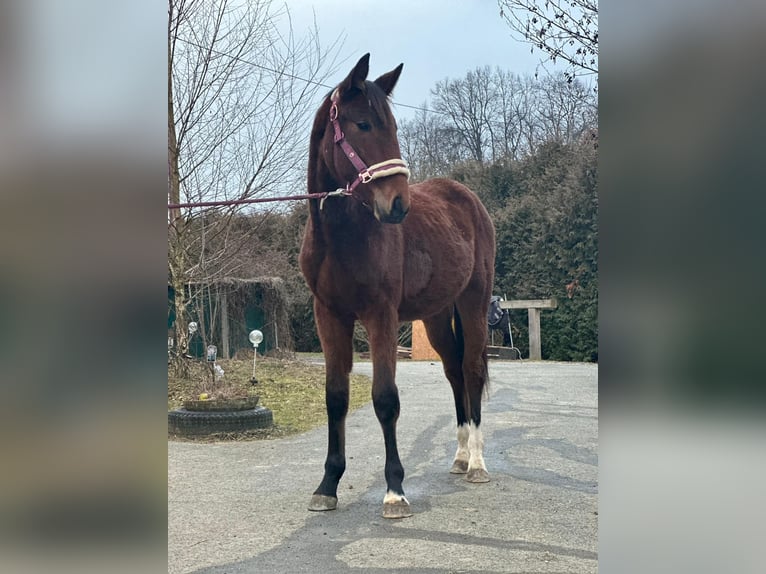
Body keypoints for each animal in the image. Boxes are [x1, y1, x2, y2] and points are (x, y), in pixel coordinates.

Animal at [300, 55, 498, 520]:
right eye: (362, 124)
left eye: (391, 126)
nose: (397, 205)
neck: (343, 239)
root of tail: (469, 199)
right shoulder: (329, 316)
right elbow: (336, 396)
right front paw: (328, 485)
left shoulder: (381, 316)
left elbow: (385, 398)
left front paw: (394, 490)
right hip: (438, 316)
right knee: (453, 370)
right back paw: (460, 457)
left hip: (474, 302)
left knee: (471, 369)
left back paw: (477, 463)